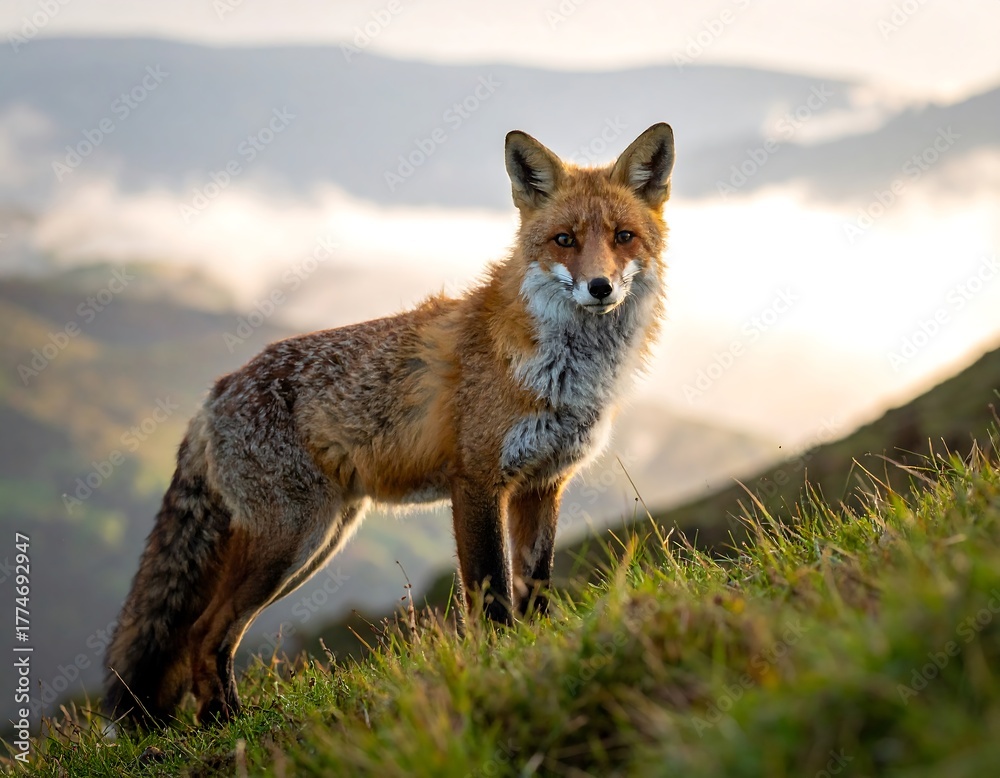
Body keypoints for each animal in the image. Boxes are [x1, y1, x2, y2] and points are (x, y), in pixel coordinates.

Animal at [104, 122, 675, 725]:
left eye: (623, 237)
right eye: (565, 240)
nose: (600, 287)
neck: (563, 370)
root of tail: (215, 392)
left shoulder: (542, 484)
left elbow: (534, 589)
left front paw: (538, 651)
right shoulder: (476, 481)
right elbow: (492, 594)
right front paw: (501, 666)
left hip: (319, 540)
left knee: (210, 633)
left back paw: (224, 721)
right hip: (291, 538)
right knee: (203, 630)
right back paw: (225, 725)